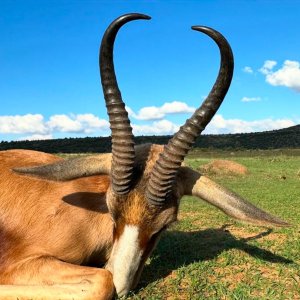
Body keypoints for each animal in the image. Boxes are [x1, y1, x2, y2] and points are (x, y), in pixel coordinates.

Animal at [0, 12, 290, 298]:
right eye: (112, 210)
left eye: (166, 223)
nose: (122, 285)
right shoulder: (21, 265)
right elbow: (101, 282)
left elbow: (102, 281)